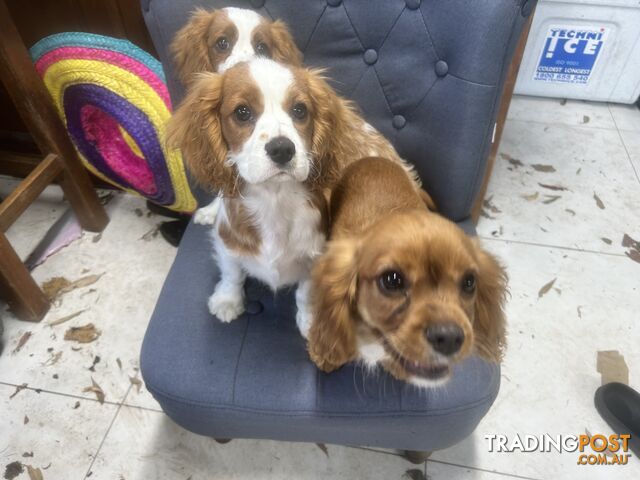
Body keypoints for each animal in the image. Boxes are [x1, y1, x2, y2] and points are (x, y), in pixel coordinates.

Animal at [168, 59, 408, 334]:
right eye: (242, 112)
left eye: (300, 110)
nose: (282, 148)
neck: (274, 198)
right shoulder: (227, 239)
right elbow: (231, 272)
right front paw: (228, 300)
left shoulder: (316, 258)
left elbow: (305, 293)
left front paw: (311, 321)